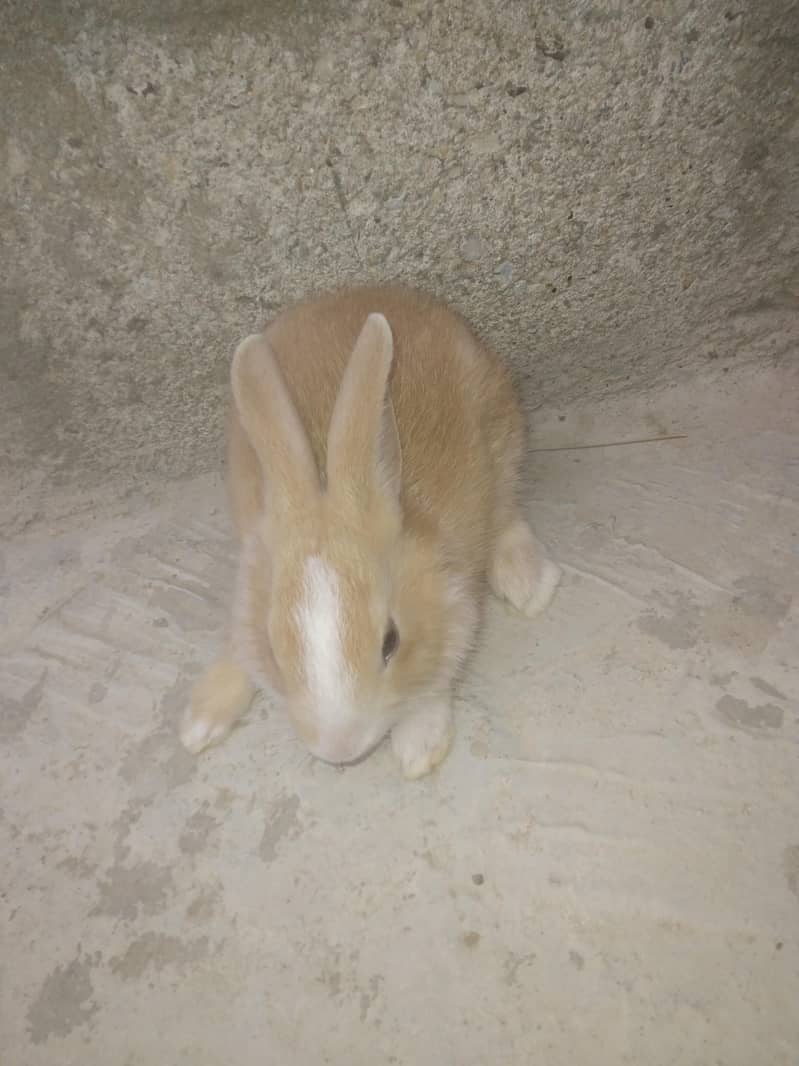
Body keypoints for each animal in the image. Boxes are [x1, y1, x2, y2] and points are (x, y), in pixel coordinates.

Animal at [179, 285, 560, 779]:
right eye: (274, 647)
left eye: (391, 642)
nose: (339, 750)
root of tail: (378, 291)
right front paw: (198, 723)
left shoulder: (454, 606)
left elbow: (435, 680)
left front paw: (418, 748)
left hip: (503, 433)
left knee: (507, 508)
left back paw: (527, 584)